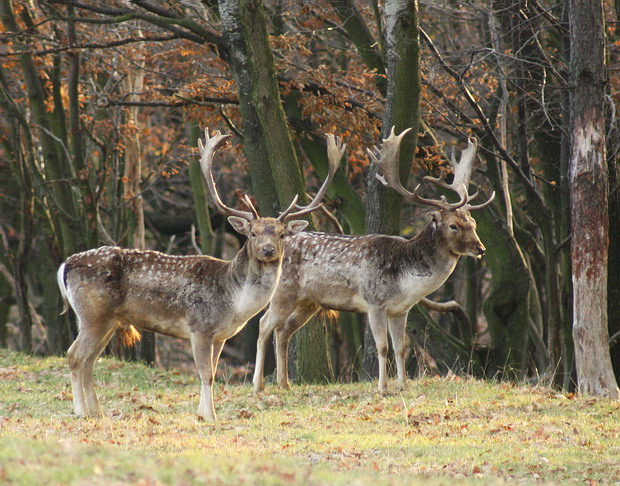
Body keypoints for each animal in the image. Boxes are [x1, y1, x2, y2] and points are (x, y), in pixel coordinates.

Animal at [58, 129, 346, 422]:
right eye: (253, 233)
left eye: (281, 234)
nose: (268, 250)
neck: (235, 303)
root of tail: (66, 264)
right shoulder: (199, 327)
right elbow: (206, 374)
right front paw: (210, 416)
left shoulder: (220, 336)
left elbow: (212, 373)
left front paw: (201, 413)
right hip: (94, 314)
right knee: (74, 356)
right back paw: (80, 411)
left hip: (107, 320)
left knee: (90, 361)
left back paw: (96, 412)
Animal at [253, 126, 494, 394]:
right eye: (453, 226)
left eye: (472, 223)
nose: (480, 248)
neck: (406, 281)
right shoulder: (375, 302)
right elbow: (383, 347)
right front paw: (382, 388)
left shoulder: (401, 310)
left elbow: (400, 348)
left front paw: (402, 386)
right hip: (283, 292)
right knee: (264, 324)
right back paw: (258, 385)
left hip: (309, 302)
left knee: (283, 331)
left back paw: (284, 384)